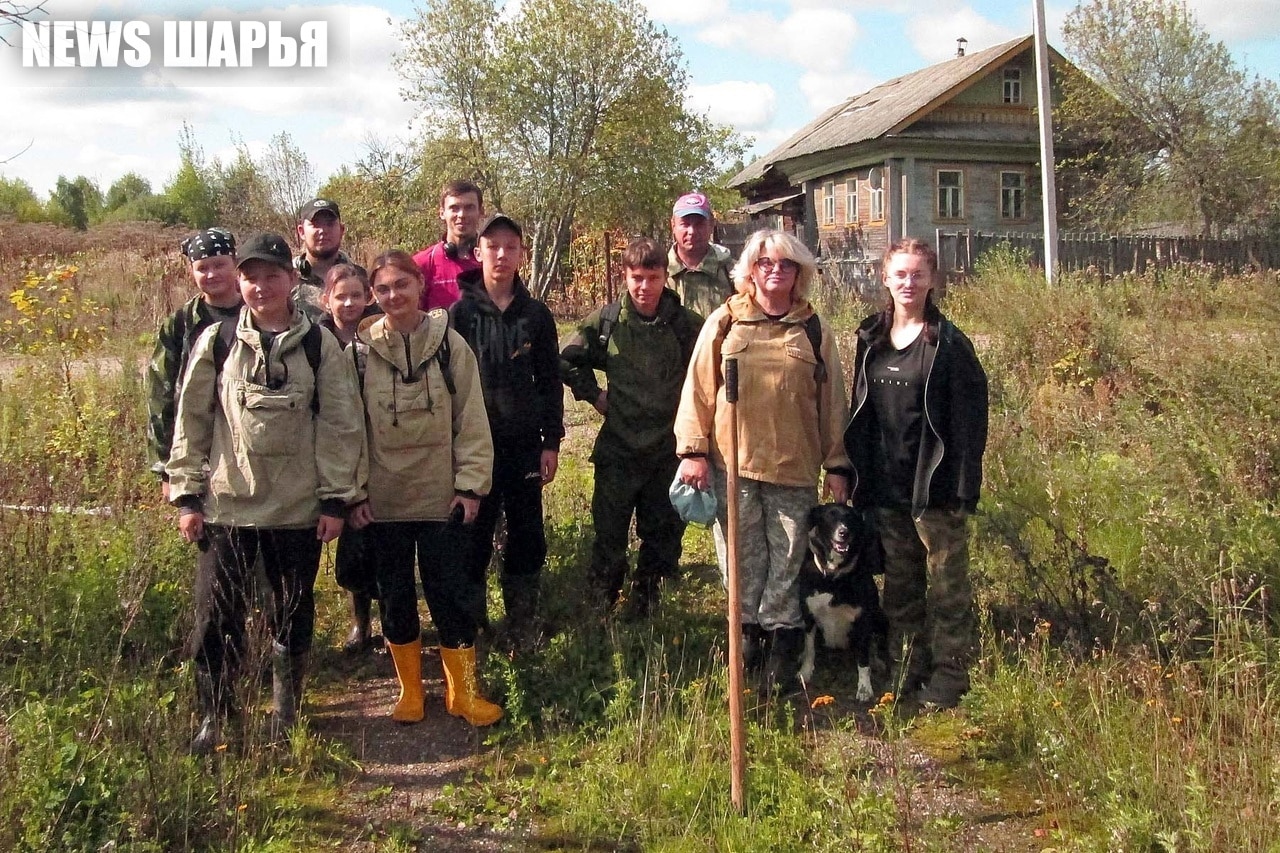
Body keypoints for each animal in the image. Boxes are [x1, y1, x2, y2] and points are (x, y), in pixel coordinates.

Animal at [798, 504, 890, 696]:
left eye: (850, 517)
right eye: (830, 516)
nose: (844, 532)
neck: (833, 578)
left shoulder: (863, 620)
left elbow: (863, 659)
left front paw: (864, 688)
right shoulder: (808, 615)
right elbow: (810, 648)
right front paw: (805, 672)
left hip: (880, 617)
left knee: (874, 645)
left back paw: (877, 661)